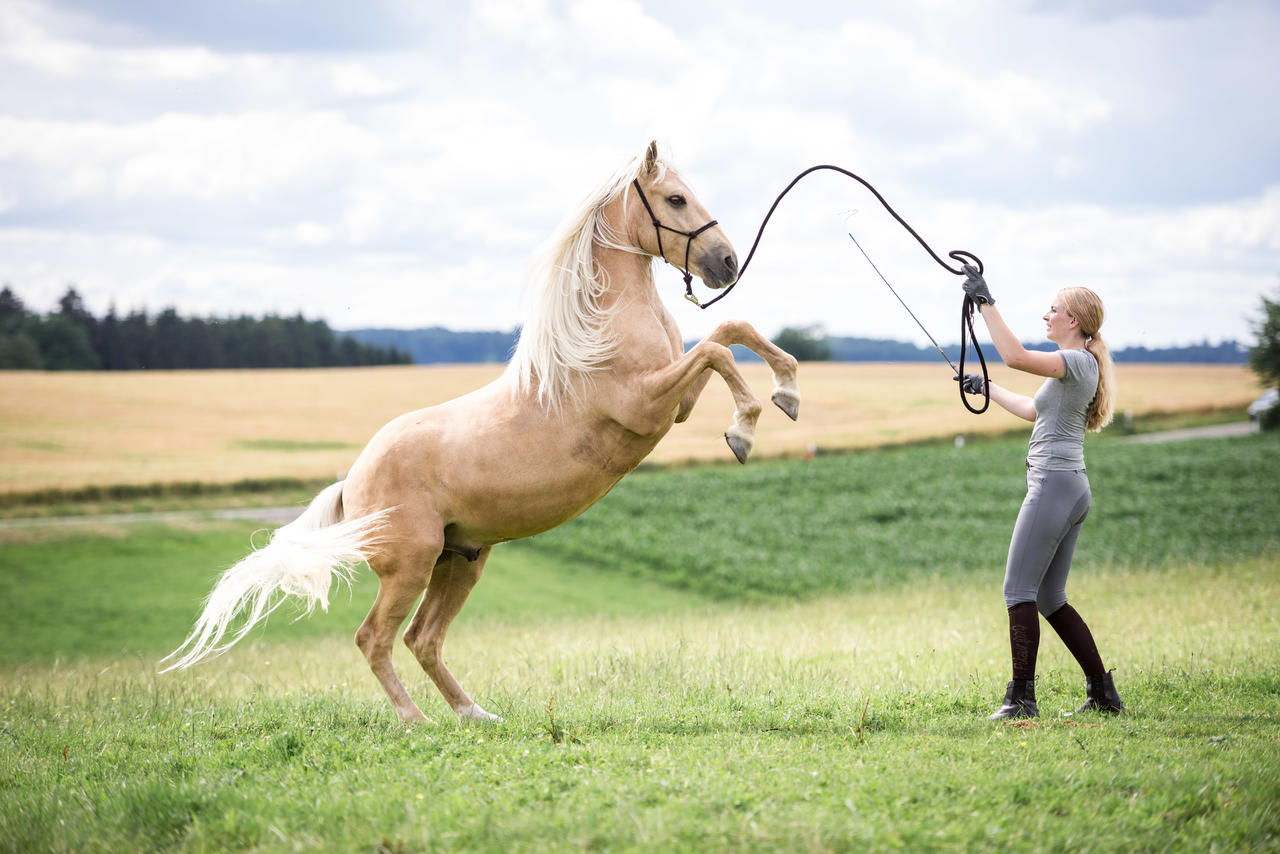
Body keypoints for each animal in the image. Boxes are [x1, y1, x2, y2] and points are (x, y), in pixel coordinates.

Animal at [162, 143, 798, 727]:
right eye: (676, 199)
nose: (726, 262)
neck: (597, 333)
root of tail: (353, 481)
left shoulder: (675, 406)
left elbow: (729, 329)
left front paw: (786, 390)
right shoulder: (646, 405)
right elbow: (718, 349)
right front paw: (745, 429)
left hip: (461, 559)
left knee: (423, 639)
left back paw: (476, 715)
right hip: (412, 566)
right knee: (375, 638)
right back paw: (416, 722)